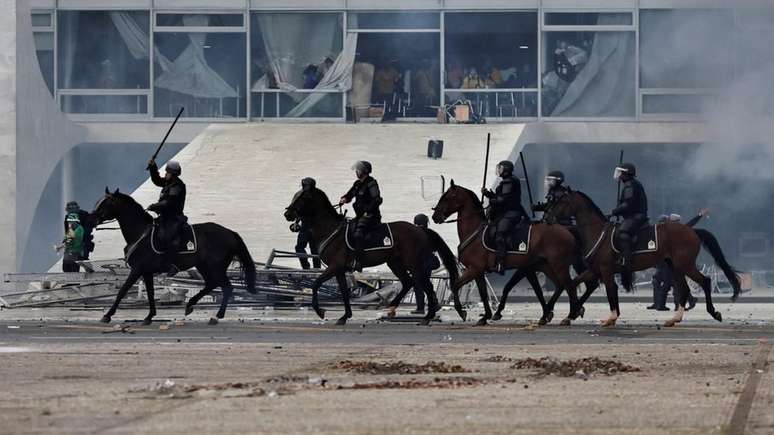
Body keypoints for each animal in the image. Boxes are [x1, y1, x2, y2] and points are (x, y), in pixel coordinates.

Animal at [430, 182, 584, 326]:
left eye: (447, 197)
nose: (434, 216)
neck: (475, 232)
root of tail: (567, 230)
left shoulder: (474, 269)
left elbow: (455, 285)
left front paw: (462, 311)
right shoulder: (479, 271)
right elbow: (483, 293)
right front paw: (486, 316)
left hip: (559, 265)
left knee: (569, 285)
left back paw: (571, 314)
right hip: (546, 266)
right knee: (561, 284)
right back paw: (553, 314)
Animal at [544, 190, 740, 328]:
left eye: (561, 201)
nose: (546, 217)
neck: (598, 232)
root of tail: (691, 230)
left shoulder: (606, 271)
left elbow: (610, 290)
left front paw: (611, 317)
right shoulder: (594, 270)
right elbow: (573, 283)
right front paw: (571, 314)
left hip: (686, 265)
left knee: (705, 281)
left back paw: (713, 312)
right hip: (675, 267)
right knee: (683, 289)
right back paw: (674, 319)